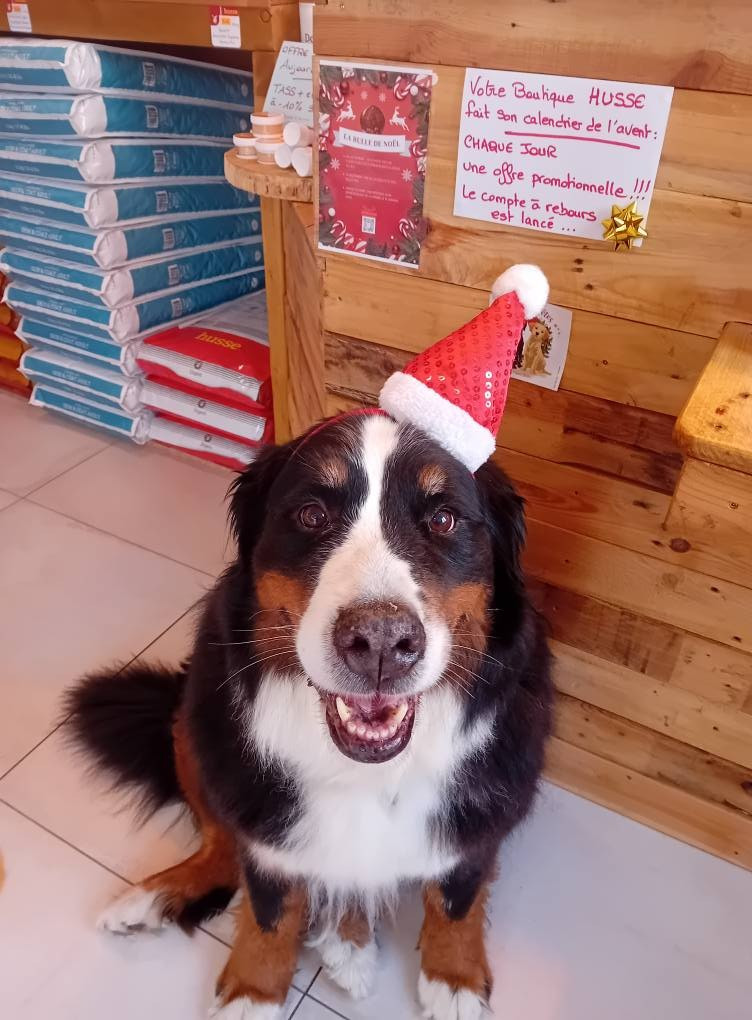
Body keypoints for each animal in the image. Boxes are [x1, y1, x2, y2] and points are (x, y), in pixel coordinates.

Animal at [65, 410, 552, 1019]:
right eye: (312, 515)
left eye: (443, 519)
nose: (381, 640)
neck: (366, 771)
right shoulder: (260, 807)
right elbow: (269, 905)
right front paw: (253, 991)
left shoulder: (484, 813)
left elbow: (457, 899)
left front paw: (454, 978)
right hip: (195, 724)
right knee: (221, 842)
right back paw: (155, 897)